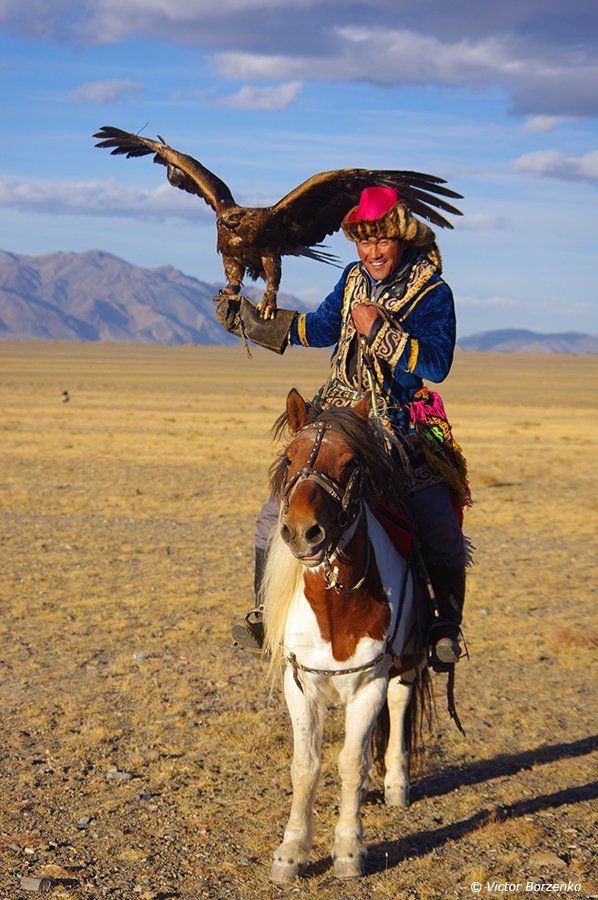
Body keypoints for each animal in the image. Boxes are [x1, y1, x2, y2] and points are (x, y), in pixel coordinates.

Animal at [264, 388, 432, 884]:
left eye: (351, 462)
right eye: (289, 457)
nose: (303, 532)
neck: (334, 609)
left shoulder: (370, 683)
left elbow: (352, 764)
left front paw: (349, 850)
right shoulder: (298, 683)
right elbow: (306, 765)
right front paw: (290, 854)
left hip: (408, 660)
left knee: (400, 702)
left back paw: (396, 784)